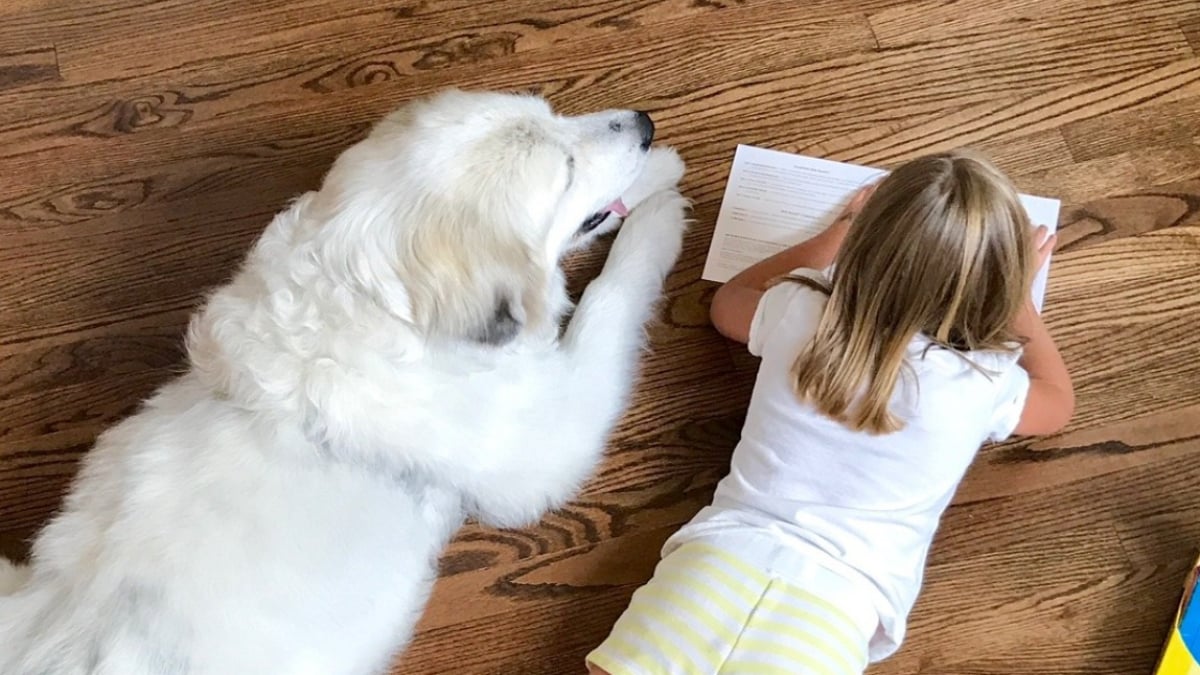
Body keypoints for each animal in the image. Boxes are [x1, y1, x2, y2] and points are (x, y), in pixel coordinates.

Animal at [0, 89, 691, 672]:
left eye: (556, 117)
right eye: (567, 167)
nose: (645, 124)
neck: (372, 299)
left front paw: (656, 173)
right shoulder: (550, 439)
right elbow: (609, 298)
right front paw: (660, 219)